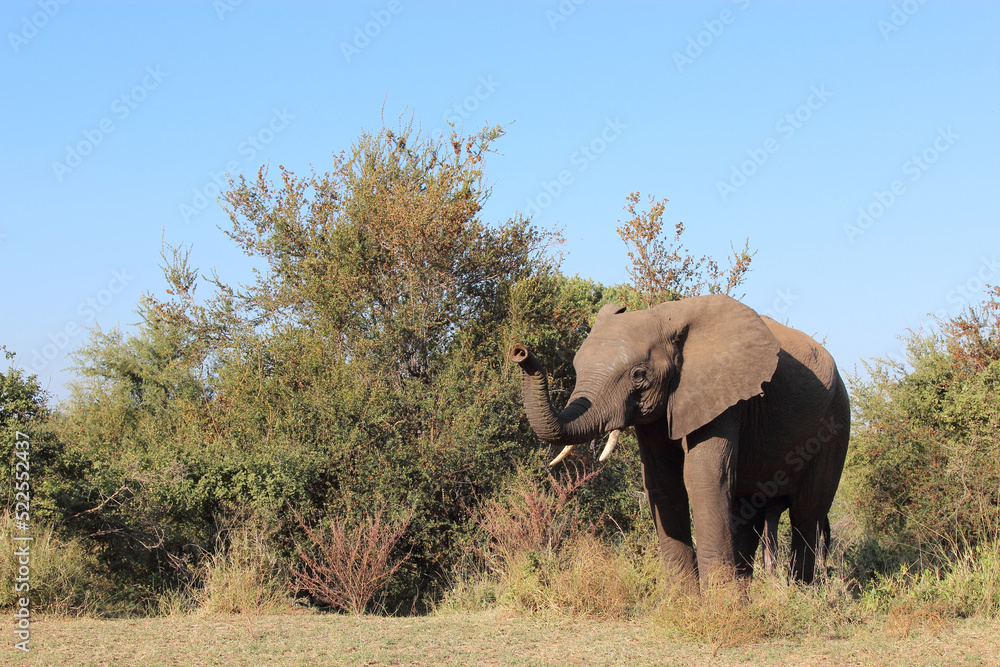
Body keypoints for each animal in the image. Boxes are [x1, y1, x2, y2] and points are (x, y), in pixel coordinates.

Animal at [512, 294, 848, 592]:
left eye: (638, 375)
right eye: (577, 368)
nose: (520, 352)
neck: (667, 318)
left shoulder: (723, 392)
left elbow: (704, 476)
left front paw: (719, 609)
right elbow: (662, 482)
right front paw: (682, 602)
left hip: (834, 425)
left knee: (806, 513)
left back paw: (801, 596)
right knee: (751, 510)